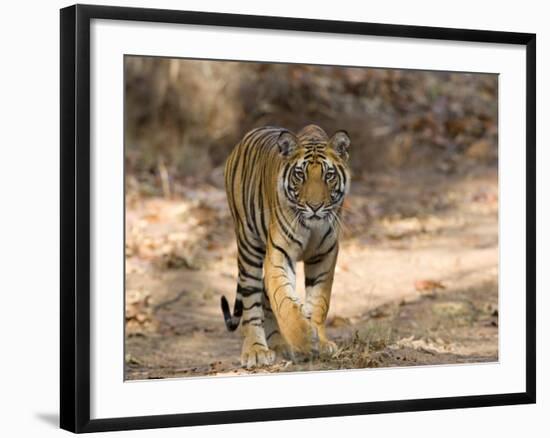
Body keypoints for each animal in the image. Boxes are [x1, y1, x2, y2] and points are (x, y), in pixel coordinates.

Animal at [222, 125, 352, 368]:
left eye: (328, 176)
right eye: (300, 175)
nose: (314, 206)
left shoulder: (324, 256)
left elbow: (319, 301)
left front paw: (320, 341)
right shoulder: (278, 257)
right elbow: (284, 301)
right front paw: (305, 338)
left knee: (264, 296)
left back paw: (280, 346)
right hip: (248, 248)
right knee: (252, 302)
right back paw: (256, 351)